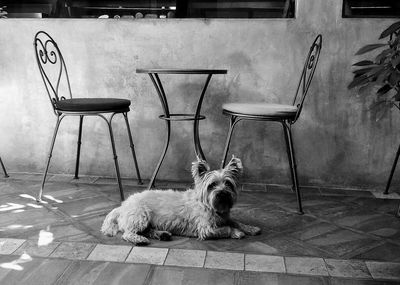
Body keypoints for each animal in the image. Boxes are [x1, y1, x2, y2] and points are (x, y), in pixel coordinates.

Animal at [101, 155, 260, 244]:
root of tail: (122, 206)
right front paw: (237, 232)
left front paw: (250, 228)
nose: (222, 193)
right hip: (141, 216)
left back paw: (162, 234)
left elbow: (236, 222)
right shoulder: (206, 229)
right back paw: (139, 240)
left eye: (228, 183)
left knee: (146, 230)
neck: (210, 206)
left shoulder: (225, 217)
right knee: (128, 233)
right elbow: (226, 228)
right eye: (212, 185)